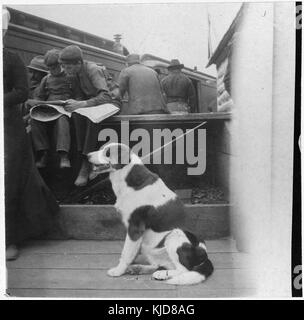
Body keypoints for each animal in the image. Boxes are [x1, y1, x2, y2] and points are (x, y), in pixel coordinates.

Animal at [86, 142, 213, 284]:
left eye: (107, 153)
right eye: (101, 148)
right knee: (159, 264)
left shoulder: (135, 228)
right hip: (149, 248)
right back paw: (140, 269)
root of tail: (204, 257)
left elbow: (126, 252)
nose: (87, 156)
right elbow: (132, 252)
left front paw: (118, 271)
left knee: (183, 270)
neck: (127, 176)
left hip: (175, 234)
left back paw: (162, 274)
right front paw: (128, 266)